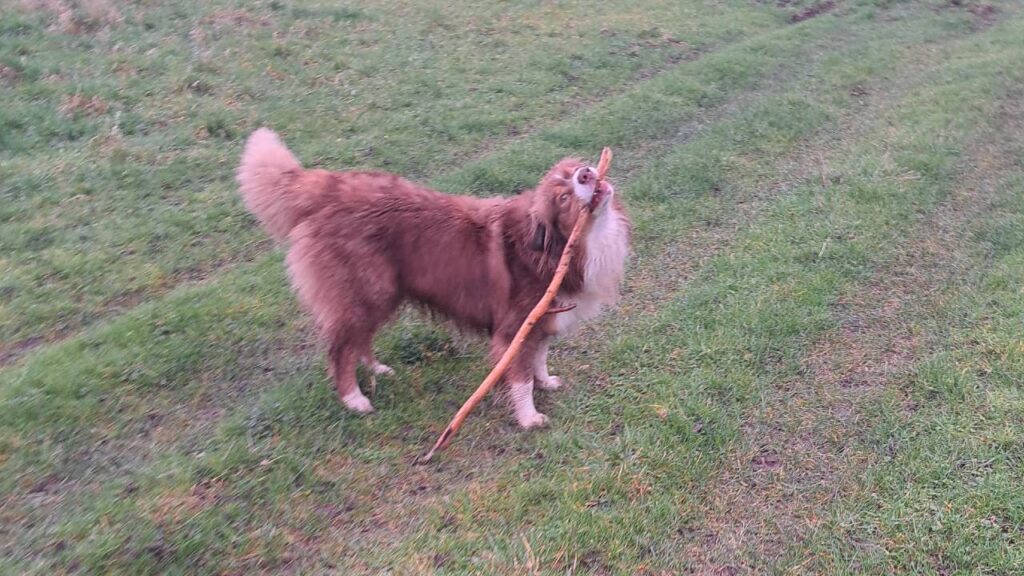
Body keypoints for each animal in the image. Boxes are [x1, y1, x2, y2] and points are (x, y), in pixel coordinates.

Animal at [235, 130, 626, 426]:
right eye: (563, 198)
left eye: (575, 169)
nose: (586, 173)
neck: (557, 248)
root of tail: (327, 186)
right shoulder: (515, 328)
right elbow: (520, 376)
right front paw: (529, 418)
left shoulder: (544, 319)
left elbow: (539, 359)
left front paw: (547, 382)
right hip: (366, 293)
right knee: (339, 349)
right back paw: (354, 400)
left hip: (381, 294)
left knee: (358, 340)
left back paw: (378, 369)